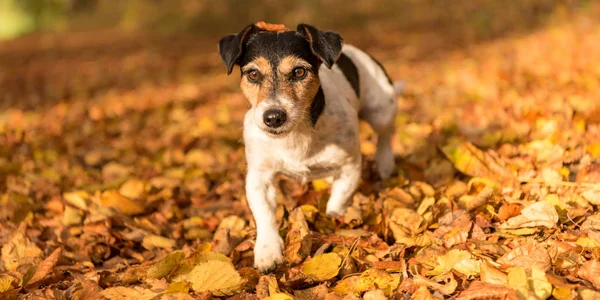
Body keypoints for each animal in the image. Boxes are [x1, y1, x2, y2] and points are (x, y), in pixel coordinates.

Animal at [219, 22, 404, 272]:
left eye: (299, 72)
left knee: (385, 134)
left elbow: (337, 202)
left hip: (381, 110)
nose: (273, 117)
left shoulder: (350, 166)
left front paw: (335, 221)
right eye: (253, 74)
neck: (295, 136)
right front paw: (268, 252)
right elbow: (265, 214)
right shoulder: (259, 177)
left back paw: (385, 163)